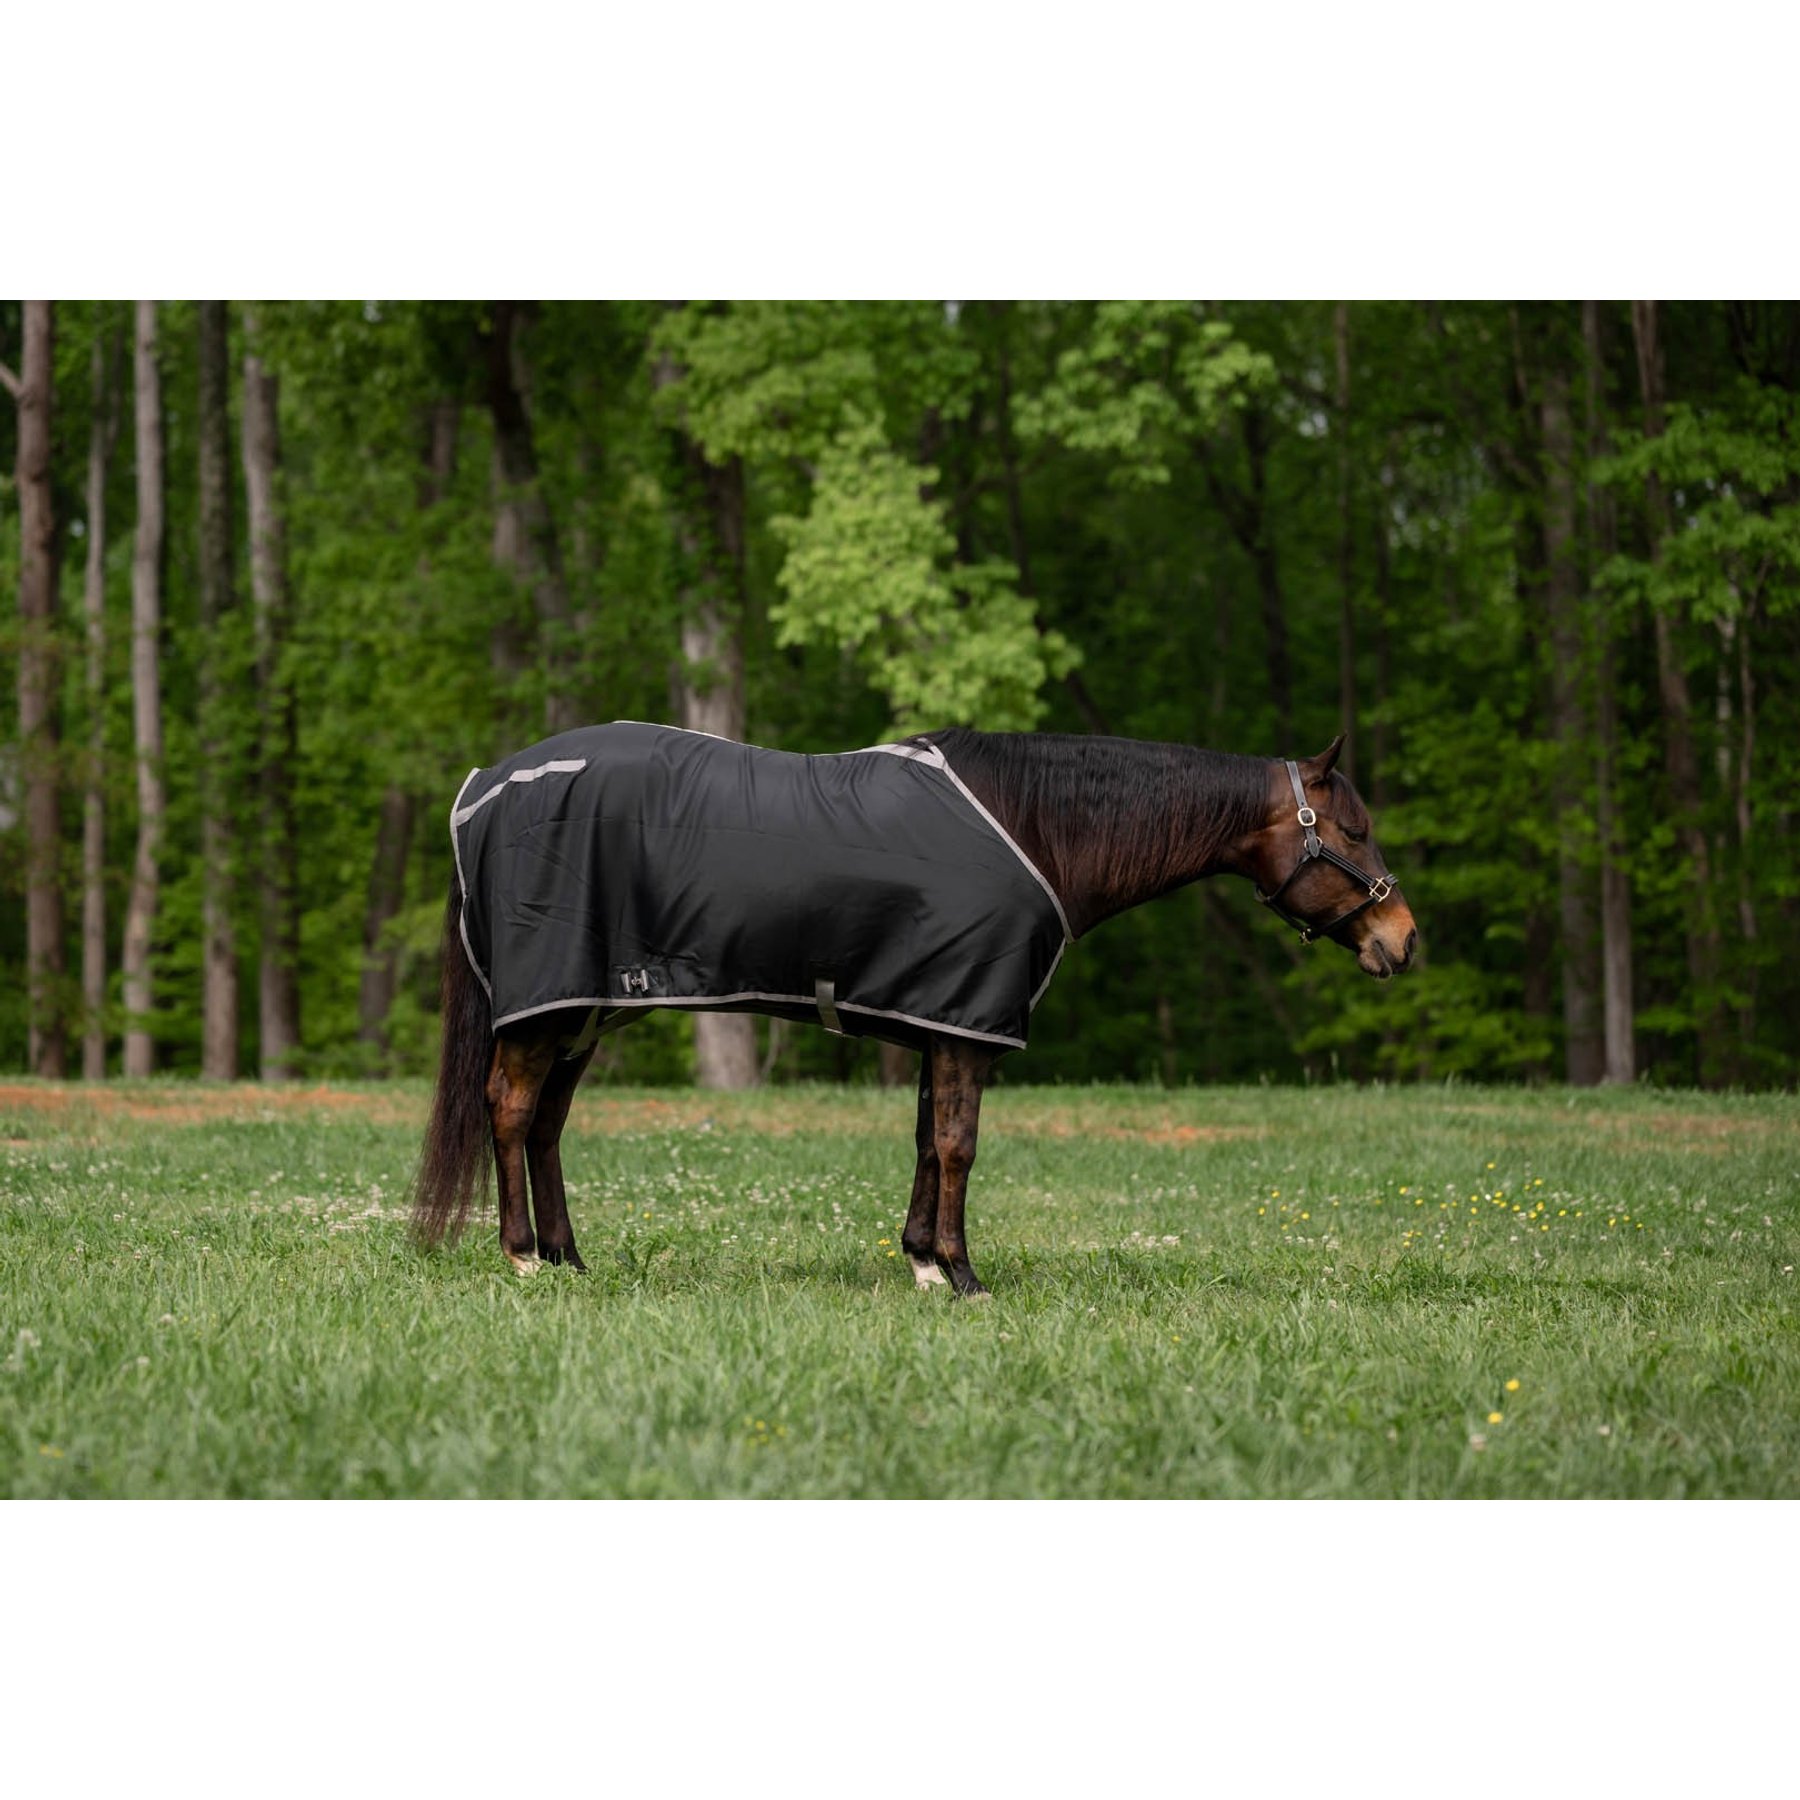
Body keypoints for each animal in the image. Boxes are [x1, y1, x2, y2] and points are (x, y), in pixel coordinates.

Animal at [410, 723, 1417, 1297]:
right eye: (1354, 830)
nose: (1403, 940)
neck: (1037, 827)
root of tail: (479, 788)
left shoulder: (942, 1017)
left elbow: (930, 1141)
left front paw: (924, 1260)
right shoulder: (965, 1020)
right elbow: (959, 1145)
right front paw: (964, 1276)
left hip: (585, 1008)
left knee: (546, 1123)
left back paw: (570, 1259)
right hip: (549, 1006)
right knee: (511, 1110)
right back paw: (522, 1258)